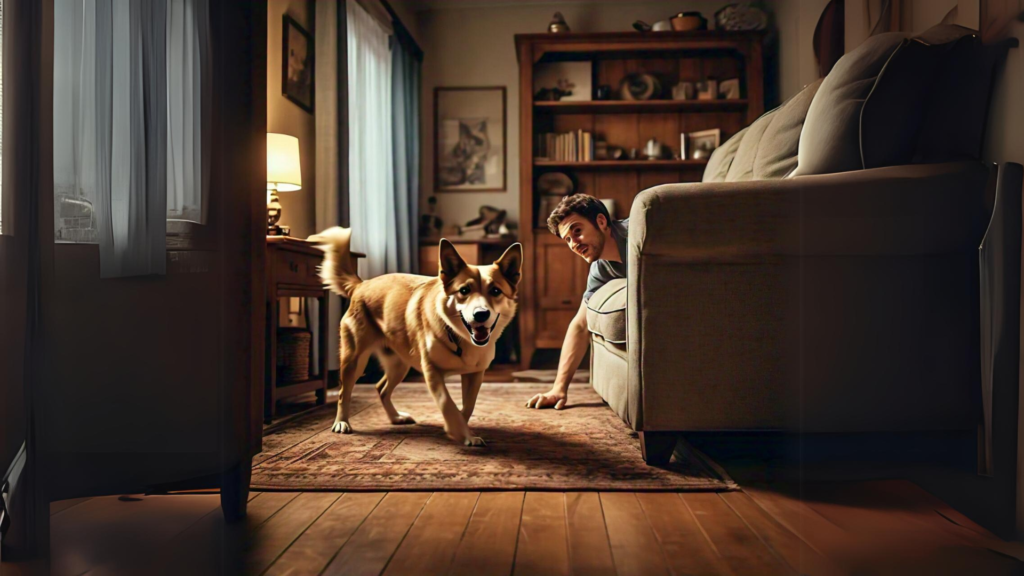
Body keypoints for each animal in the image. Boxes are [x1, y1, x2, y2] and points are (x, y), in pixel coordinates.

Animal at [309, 226, 520, 446]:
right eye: (464, 290)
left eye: (495, 291)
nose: (481, 314)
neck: (458, 336)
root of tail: (361, 284)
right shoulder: (432, 372)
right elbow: (447, 402)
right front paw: (457, 430)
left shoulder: (475, 374)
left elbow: (468, 406)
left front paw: (463, 431)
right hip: (354, 360)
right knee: (344, 392)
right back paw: (341, 423)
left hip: (400, 364)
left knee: (381, 388)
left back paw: (395, 418)